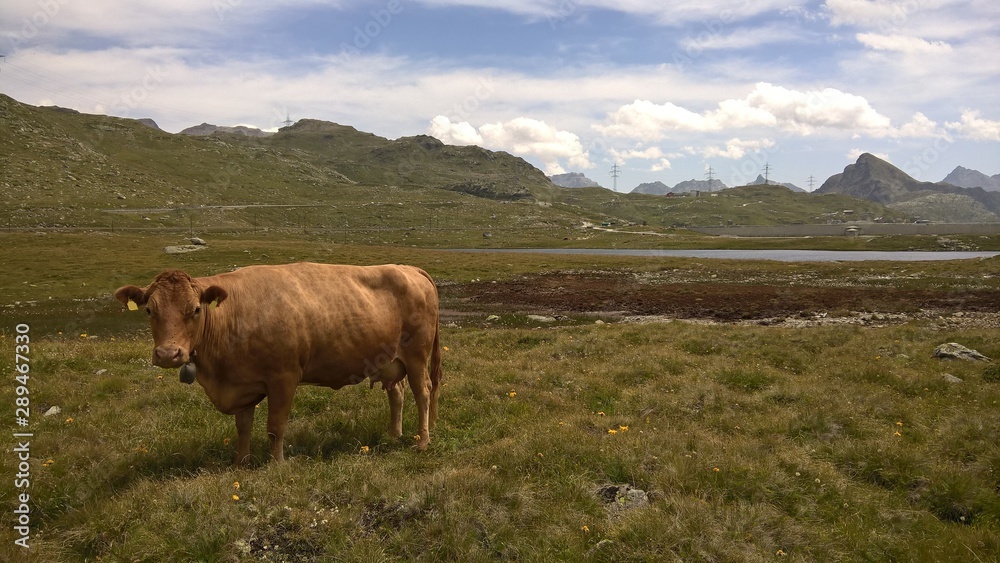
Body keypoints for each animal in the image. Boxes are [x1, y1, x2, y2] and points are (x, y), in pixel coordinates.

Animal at [114, 262, 442, 464]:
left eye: (195, 309)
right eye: (149, 310)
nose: (169, 354)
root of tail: (407, 268)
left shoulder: (284, 378)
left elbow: (275, 426)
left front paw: (277, 463)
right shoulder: (241, 383)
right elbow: (243, 427)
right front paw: (240, 462)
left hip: (417, 356)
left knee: (423, 392)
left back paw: (422, 442)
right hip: (388, 361)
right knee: (397, 393)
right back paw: (394, 435)